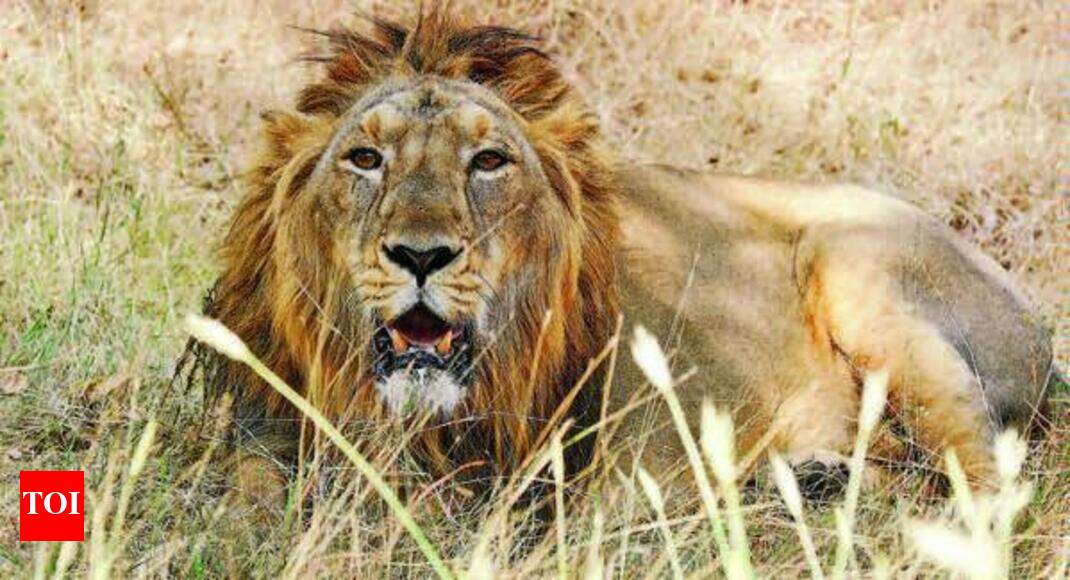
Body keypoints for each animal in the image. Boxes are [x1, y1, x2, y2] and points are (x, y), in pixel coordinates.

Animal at [184, 10, 1055, 505]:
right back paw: (813, 481)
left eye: (489, 162)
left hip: (856, 263)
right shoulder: (264, 427)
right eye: (365, 159)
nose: (420, 255)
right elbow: (244, 499)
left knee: (989, 480)